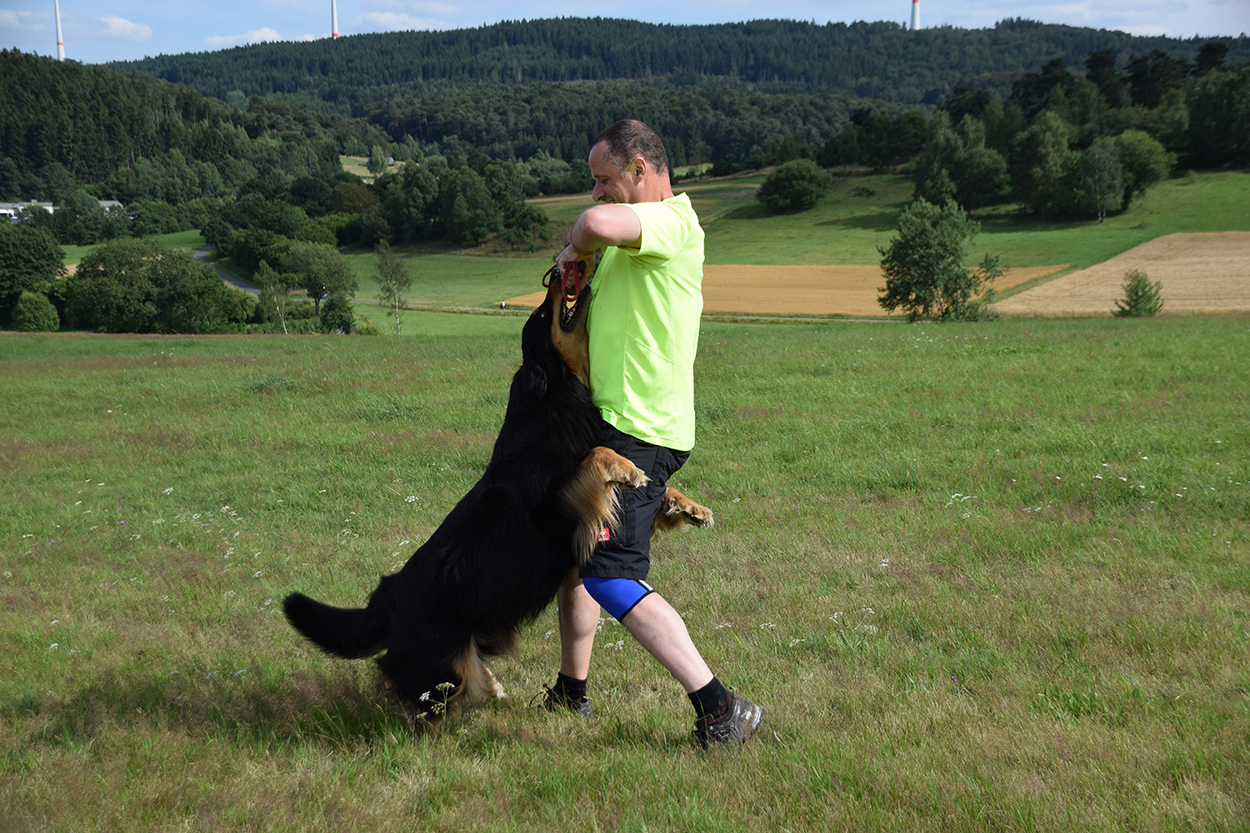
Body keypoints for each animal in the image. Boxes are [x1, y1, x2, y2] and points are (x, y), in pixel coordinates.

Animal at [283, 262, 713, 723]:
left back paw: (489, 686)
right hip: (441, 659)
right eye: (541, 316)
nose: (557, 272)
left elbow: (657, 487)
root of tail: (388, 594)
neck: (551, 398)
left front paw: (689, 507)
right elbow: (593, 457)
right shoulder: (558, 504)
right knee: (428, 697)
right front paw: (627, 468)